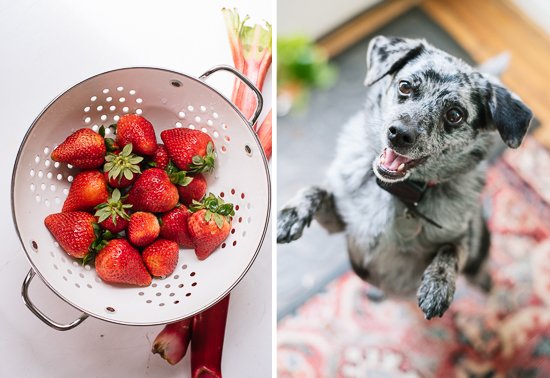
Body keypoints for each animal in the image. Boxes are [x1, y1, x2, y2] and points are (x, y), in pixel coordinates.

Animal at [280, 36, 536, 318]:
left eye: (455, 115)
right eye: (405, 86)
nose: (399, 134)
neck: (399, 192)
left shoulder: (462, 240)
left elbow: (451, 249)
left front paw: (437, 285)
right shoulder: (341, 224)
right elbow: (315, 190)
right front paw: (293, 214)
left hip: (479, 263)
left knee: (486, 281)